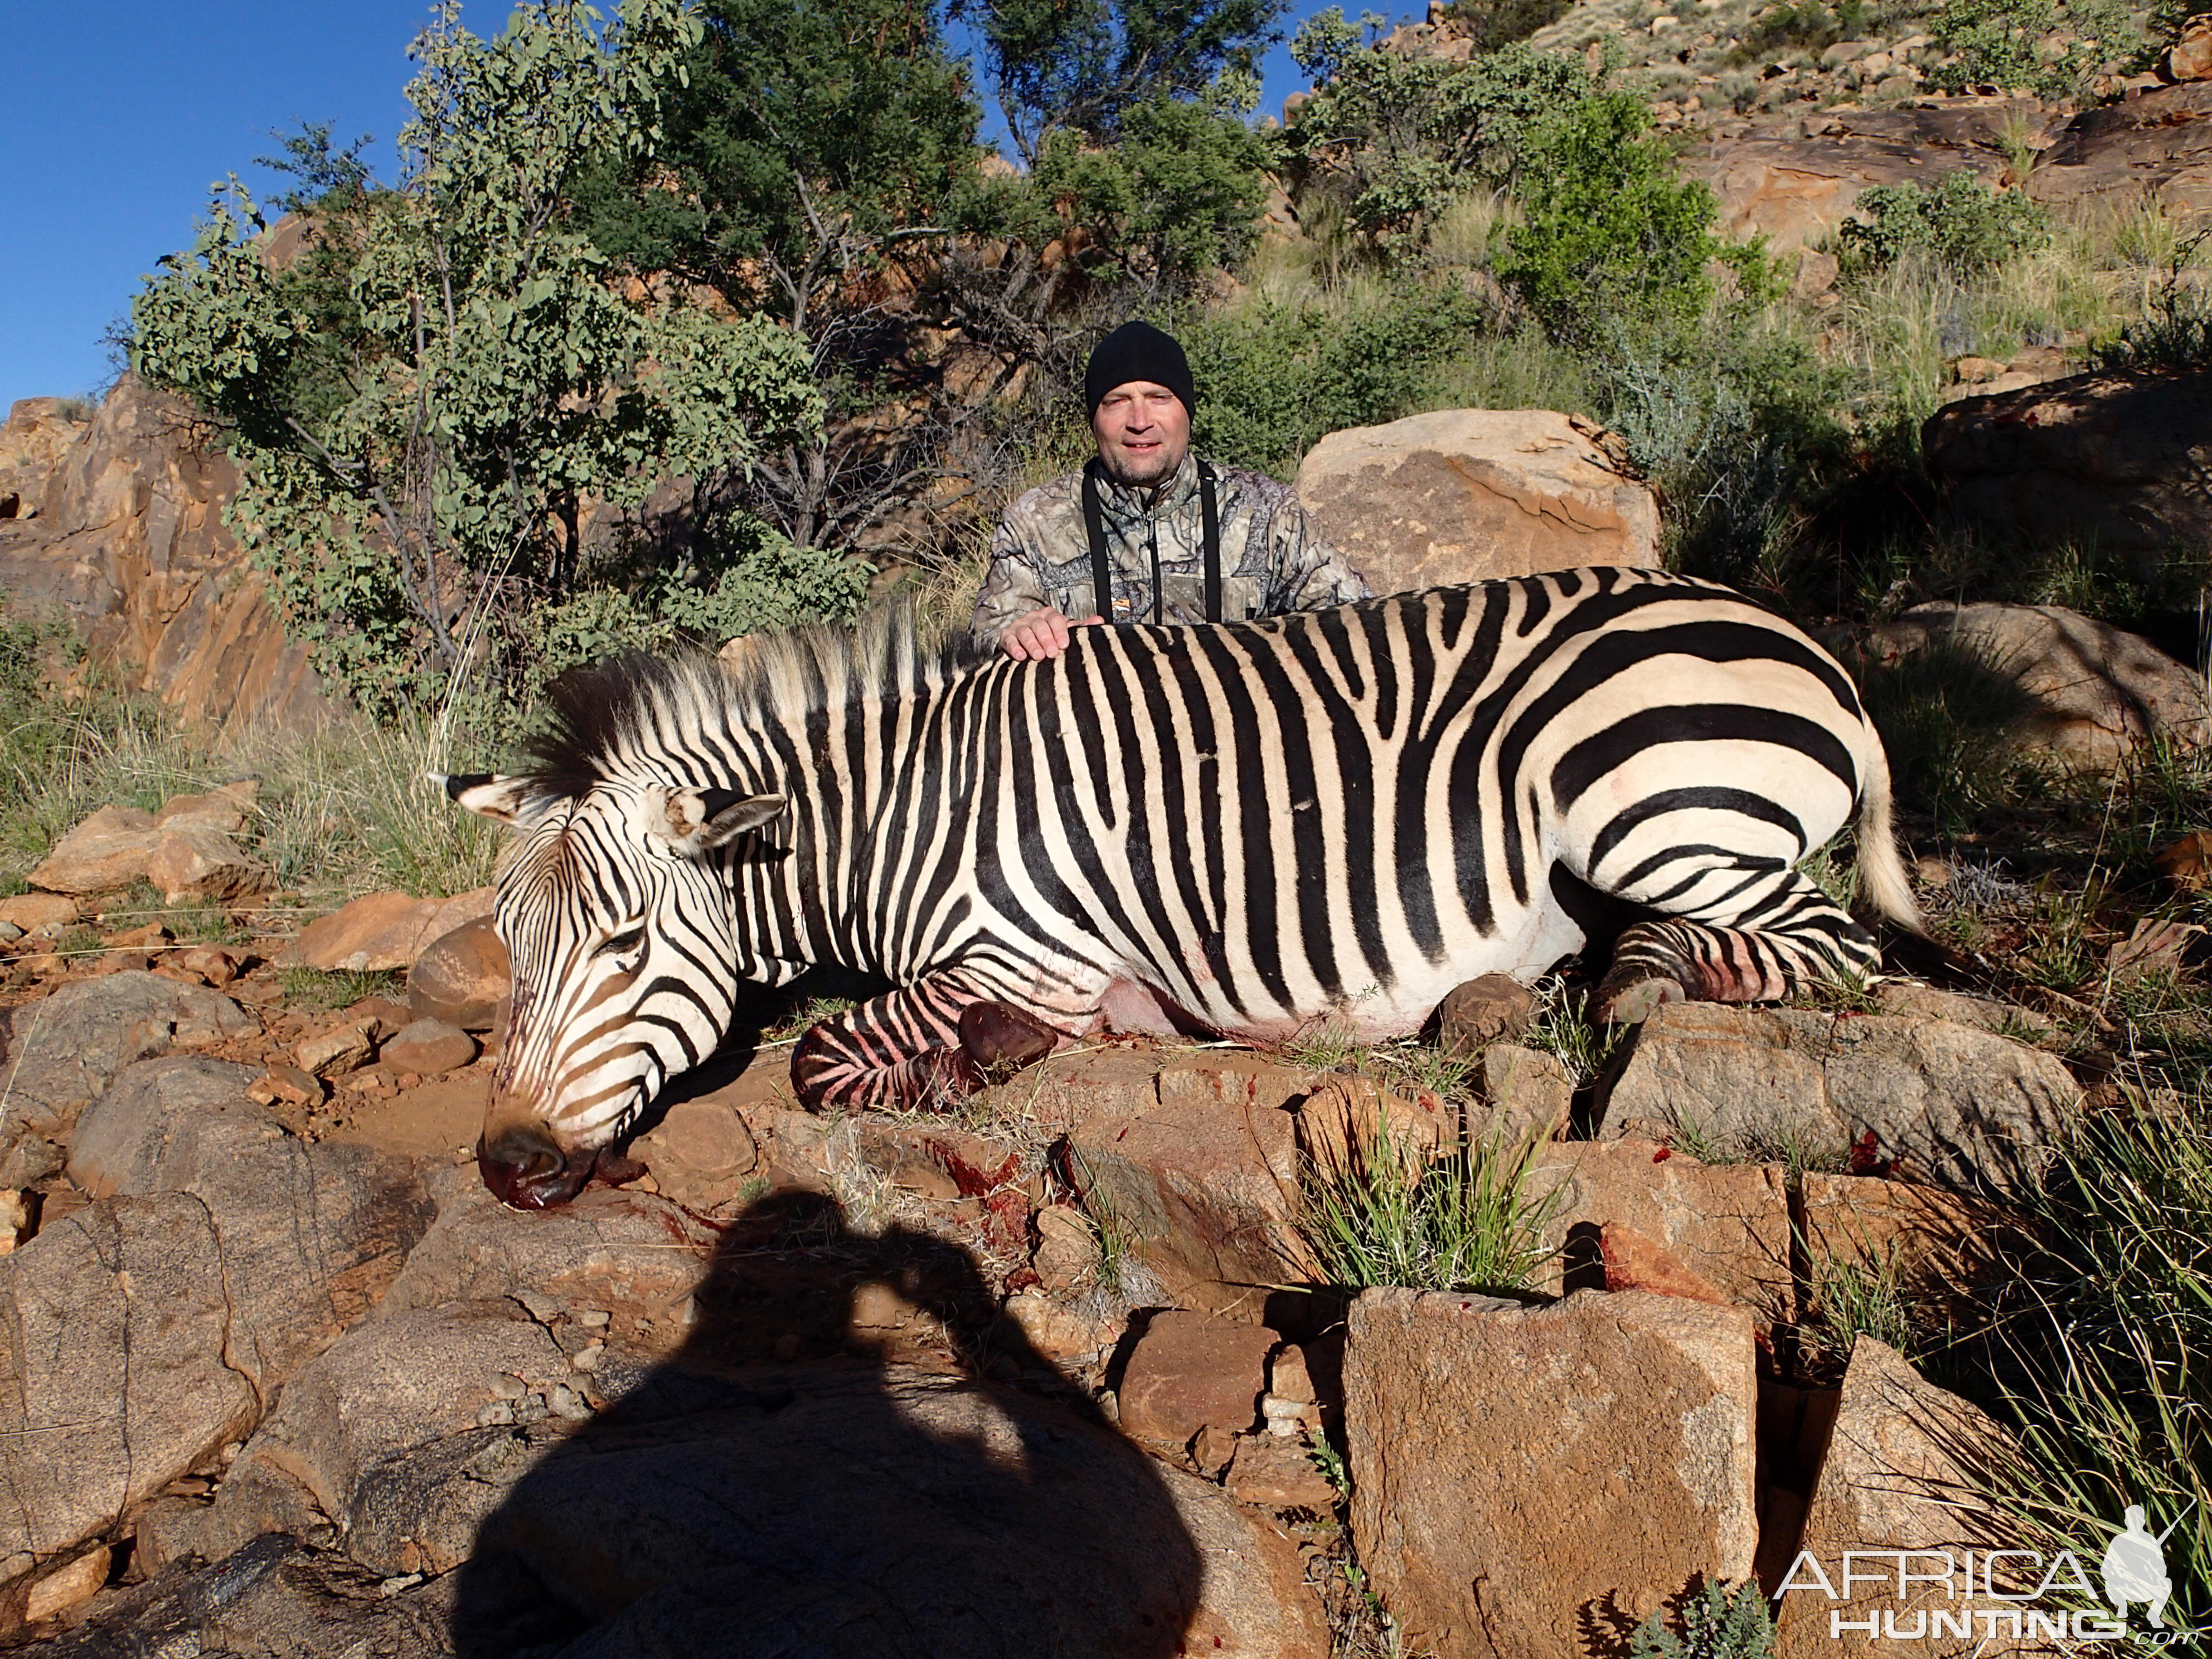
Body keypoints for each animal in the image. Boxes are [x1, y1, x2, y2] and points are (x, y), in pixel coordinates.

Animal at [440, 570, 1911, 1212]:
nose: (507, 1167)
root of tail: (1802, 643)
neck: (905, 813)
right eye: (512, 950)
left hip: (1645, 812)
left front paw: (968, 1066)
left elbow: (829, 1059)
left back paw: (1635, 977)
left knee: (1832, 946)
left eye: (626, 945)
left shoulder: (1023, 954)